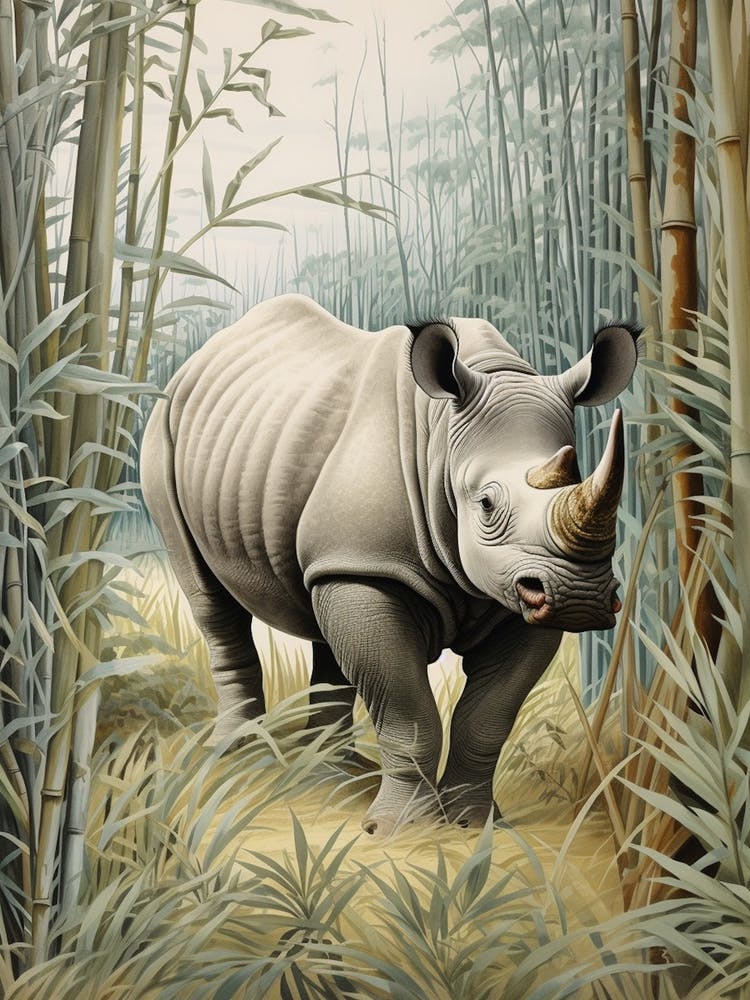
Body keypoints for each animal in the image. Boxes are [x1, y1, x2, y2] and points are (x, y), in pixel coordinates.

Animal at [140, 293, 639, 835]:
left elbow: (488, 716)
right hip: (163, 433)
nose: (581, 598)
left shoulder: (516, 589)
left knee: (323, 616)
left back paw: (333, 769)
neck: (443, 439)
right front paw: (401, 829)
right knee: (212, 602)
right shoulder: (370, 564)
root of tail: (196, 362)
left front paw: (474, 824)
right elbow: (407, 709)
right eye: (486, 504)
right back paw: (239, 754)